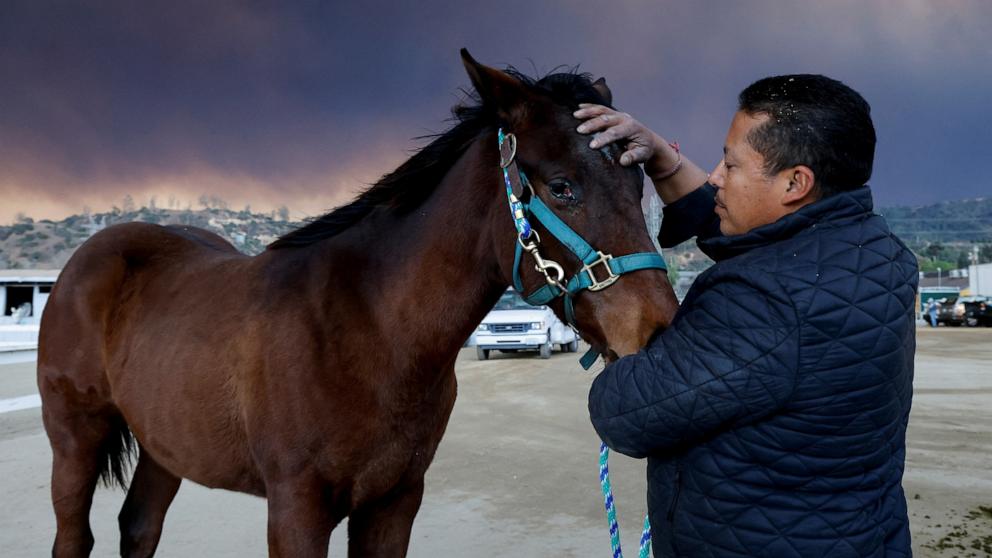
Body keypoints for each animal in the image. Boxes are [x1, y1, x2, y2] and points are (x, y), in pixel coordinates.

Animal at [35, 50, 680, 556]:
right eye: (562, 187)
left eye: (639, 184)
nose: (659, 331)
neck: (368, 329)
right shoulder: (296, 510)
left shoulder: (395, 501)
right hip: (75, 439)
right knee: (74, 537)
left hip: (164, 445)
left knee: (139, 527)